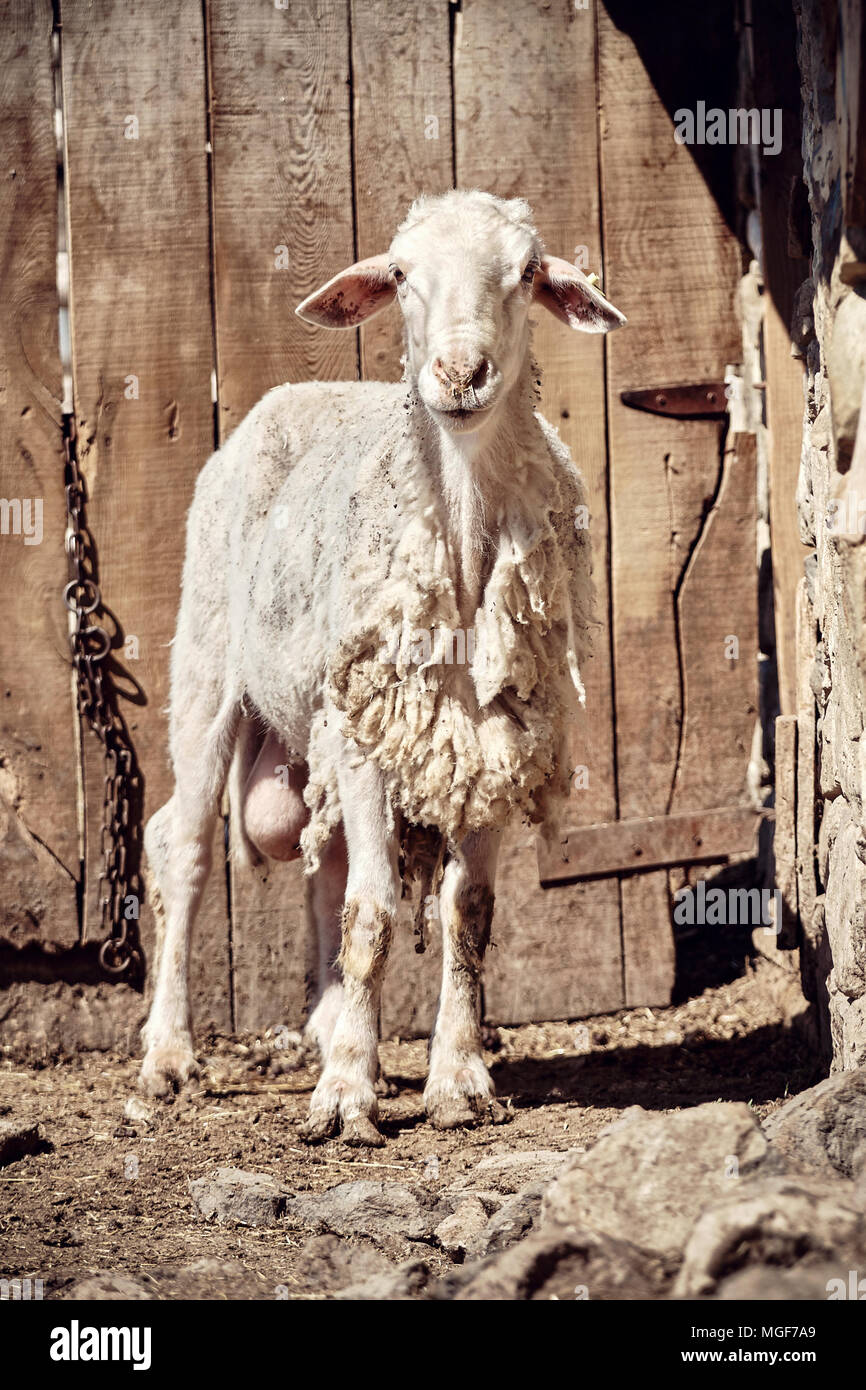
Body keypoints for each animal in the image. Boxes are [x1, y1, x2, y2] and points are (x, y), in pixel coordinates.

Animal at [139, 189, 625, 1146]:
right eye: (400, 275)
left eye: (526, 273)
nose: (461, 374)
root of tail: (296, 391)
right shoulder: (368, 741)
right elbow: (372, 914)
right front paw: (343, 1100)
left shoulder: (489, 745)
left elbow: (467, 914)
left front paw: (456, 1080)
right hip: (210, 670)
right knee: (183, 846)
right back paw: (171, 1054)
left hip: (320, 723)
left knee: (320, 868)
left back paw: (334, 1025)